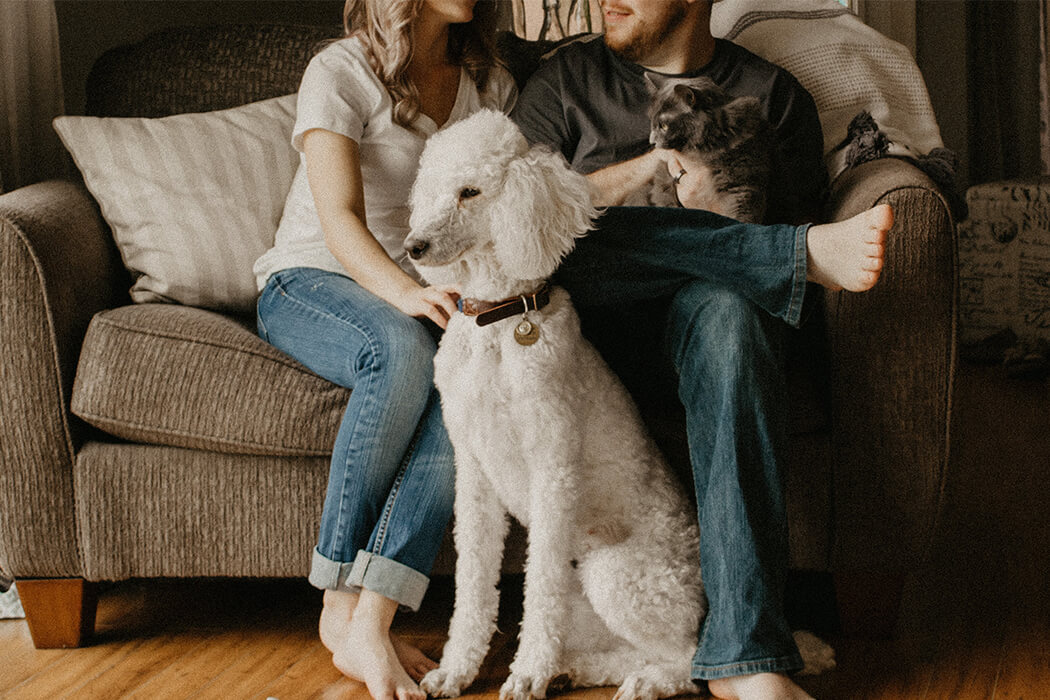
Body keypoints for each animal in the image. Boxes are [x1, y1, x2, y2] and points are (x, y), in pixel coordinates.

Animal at [405, 109, 831, 700]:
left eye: (470, 191)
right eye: (432, 188)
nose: (413, 247)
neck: (500, 321)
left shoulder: (553, 469)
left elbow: (539, 593)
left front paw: (527, 672)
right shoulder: (473, 475)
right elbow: (471, 585)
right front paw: (457, 670)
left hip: (616, 576)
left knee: (688, 659)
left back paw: (643, 681)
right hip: (588, 597)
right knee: (624, 648)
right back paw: (574, 669)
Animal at [625, 74, 776, 221]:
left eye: (664, 126)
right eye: (651, 122)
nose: (652, 142)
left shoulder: (741, 184)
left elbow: (741, 217)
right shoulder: (663, 177)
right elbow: (665, 199)